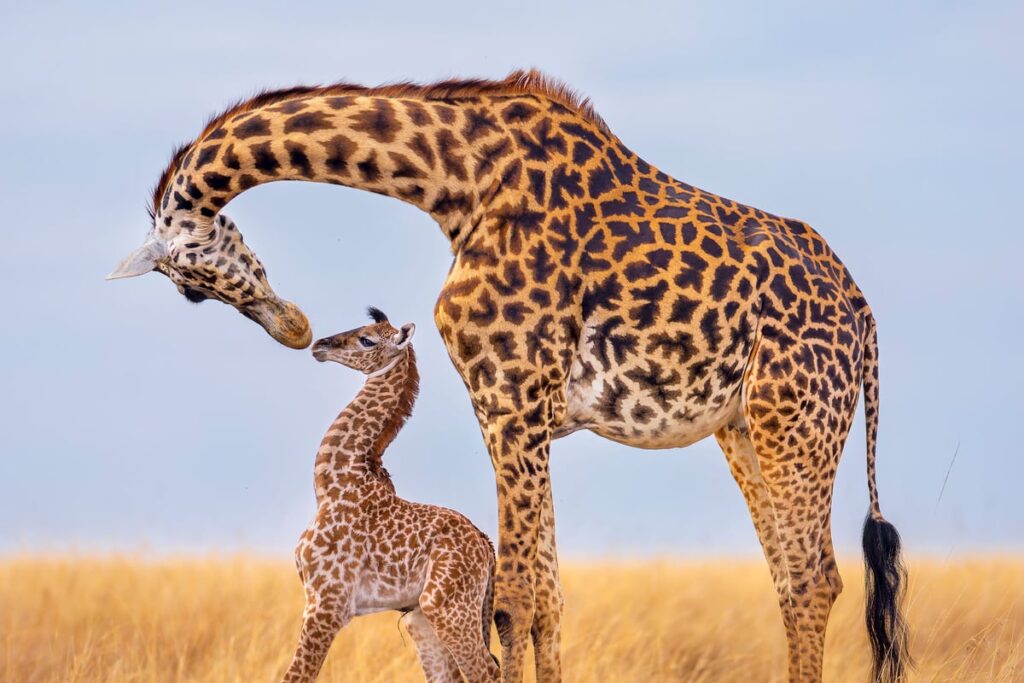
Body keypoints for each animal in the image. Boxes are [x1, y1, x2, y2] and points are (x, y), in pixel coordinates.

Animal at [283, 307, 499, 683]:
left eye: (367, 339)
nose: (320, 345)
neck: (332, 485)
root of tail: (486, 545)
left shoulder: (326, 602)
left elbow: (296, 675)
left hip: (446, 607)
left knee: (487, 671)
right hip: (421, 617)